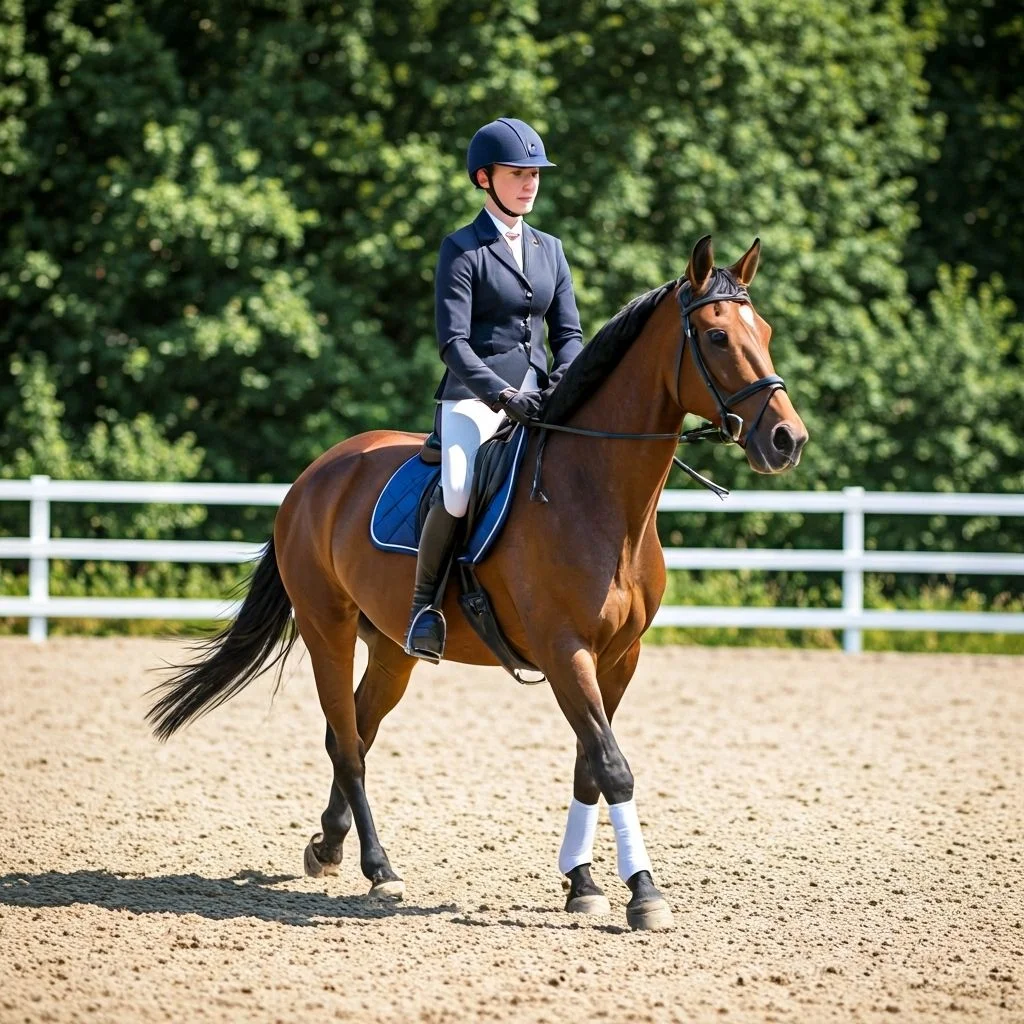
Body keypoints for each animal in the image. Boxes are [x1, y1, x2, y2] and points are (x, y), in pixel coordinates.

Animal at [148, 235, 808, 931]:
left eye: (764, 330)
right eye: (716, 337)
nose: (786, 439)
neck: (599, 497)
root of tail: (314, 475)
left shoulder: (620, 657)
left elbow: (588, 767)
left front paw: (581, 883)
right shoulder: (565, 650)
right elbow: (613, 766)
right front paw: (643, 893)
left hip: (392, 647)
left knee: (354, 730)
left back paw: (328, 846)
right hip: (328, 628)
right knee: (348, 742)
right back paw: (380, 870)